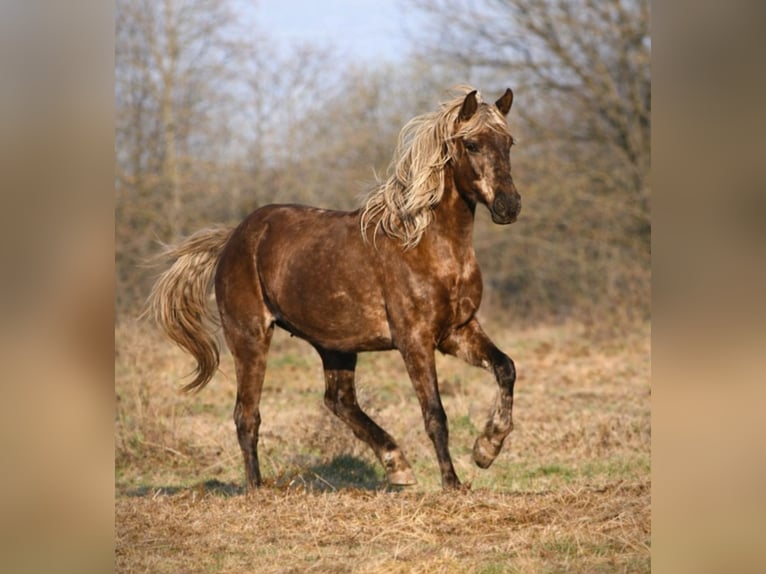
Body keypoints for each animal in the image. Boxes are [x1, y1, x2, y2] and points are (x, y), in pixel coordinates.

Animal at [147, 86, 521, 490]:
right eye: (472, 144)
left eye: (509, 142)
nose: (509, 206)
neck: (427, 245)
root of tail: (234, 237)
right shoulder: (416, 341)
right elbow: (435, 413)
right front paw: (452, 482)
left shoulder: (458, 331)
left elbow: (505, 368)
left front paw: (487, 449)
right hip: (250, 338)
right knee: (247, 415)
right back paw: (257, 487)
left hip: (336, 345)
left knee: (339, 401)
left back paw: (397, 465)